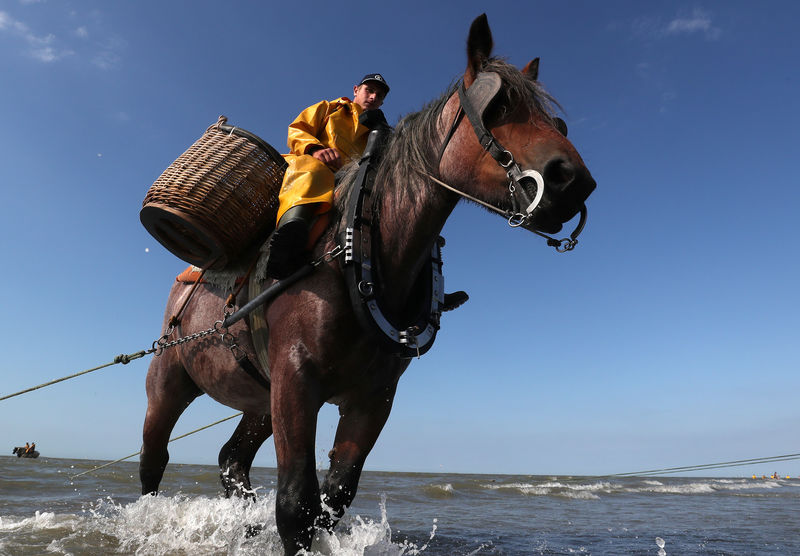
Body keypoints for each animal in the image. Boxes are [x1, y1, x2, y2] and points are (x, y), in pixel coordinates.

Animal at [141, 15, 596, 552]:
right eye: (500, 105)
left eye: (557, 121)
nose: (575, 181)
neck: (359, 253)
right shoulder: (296, 381)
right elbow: (295, 504)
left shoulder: (372, 399)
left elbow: (333, 498)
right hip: (170, 381)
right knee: (153, 460)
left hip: (260, 398)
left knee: (232, 461)